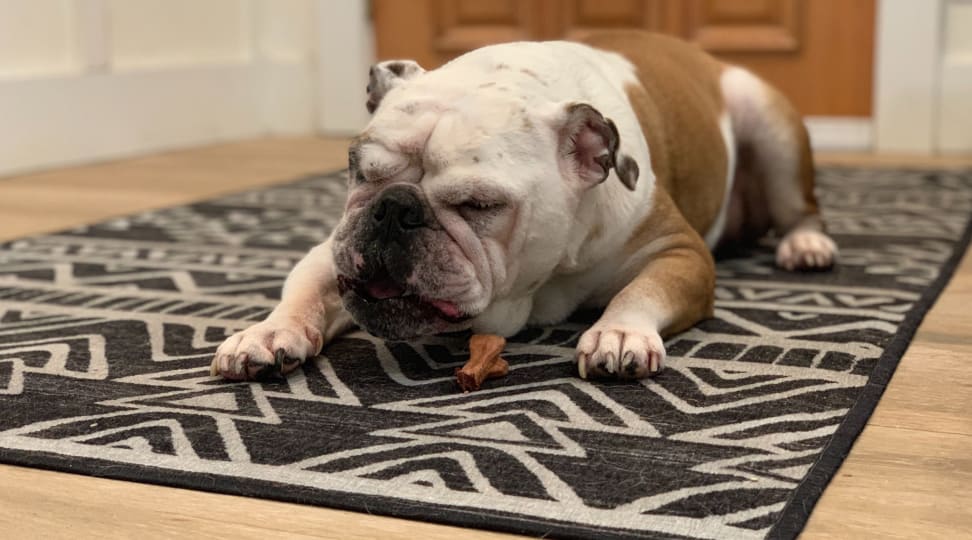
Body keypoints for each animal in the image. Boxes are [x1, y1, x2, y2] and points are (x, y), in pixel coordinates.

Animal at [211, 31, 836, 382]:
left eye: (480, 204)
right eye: (362, 171)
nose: (393, 208)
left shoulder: (678, 253)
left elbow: (641, 292)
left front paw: (619, 334)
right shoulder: (334, 252)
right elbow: (305, 290)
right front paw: (267, 333)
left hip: (771, 126)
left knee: (801, 205)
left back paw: (806, 245)